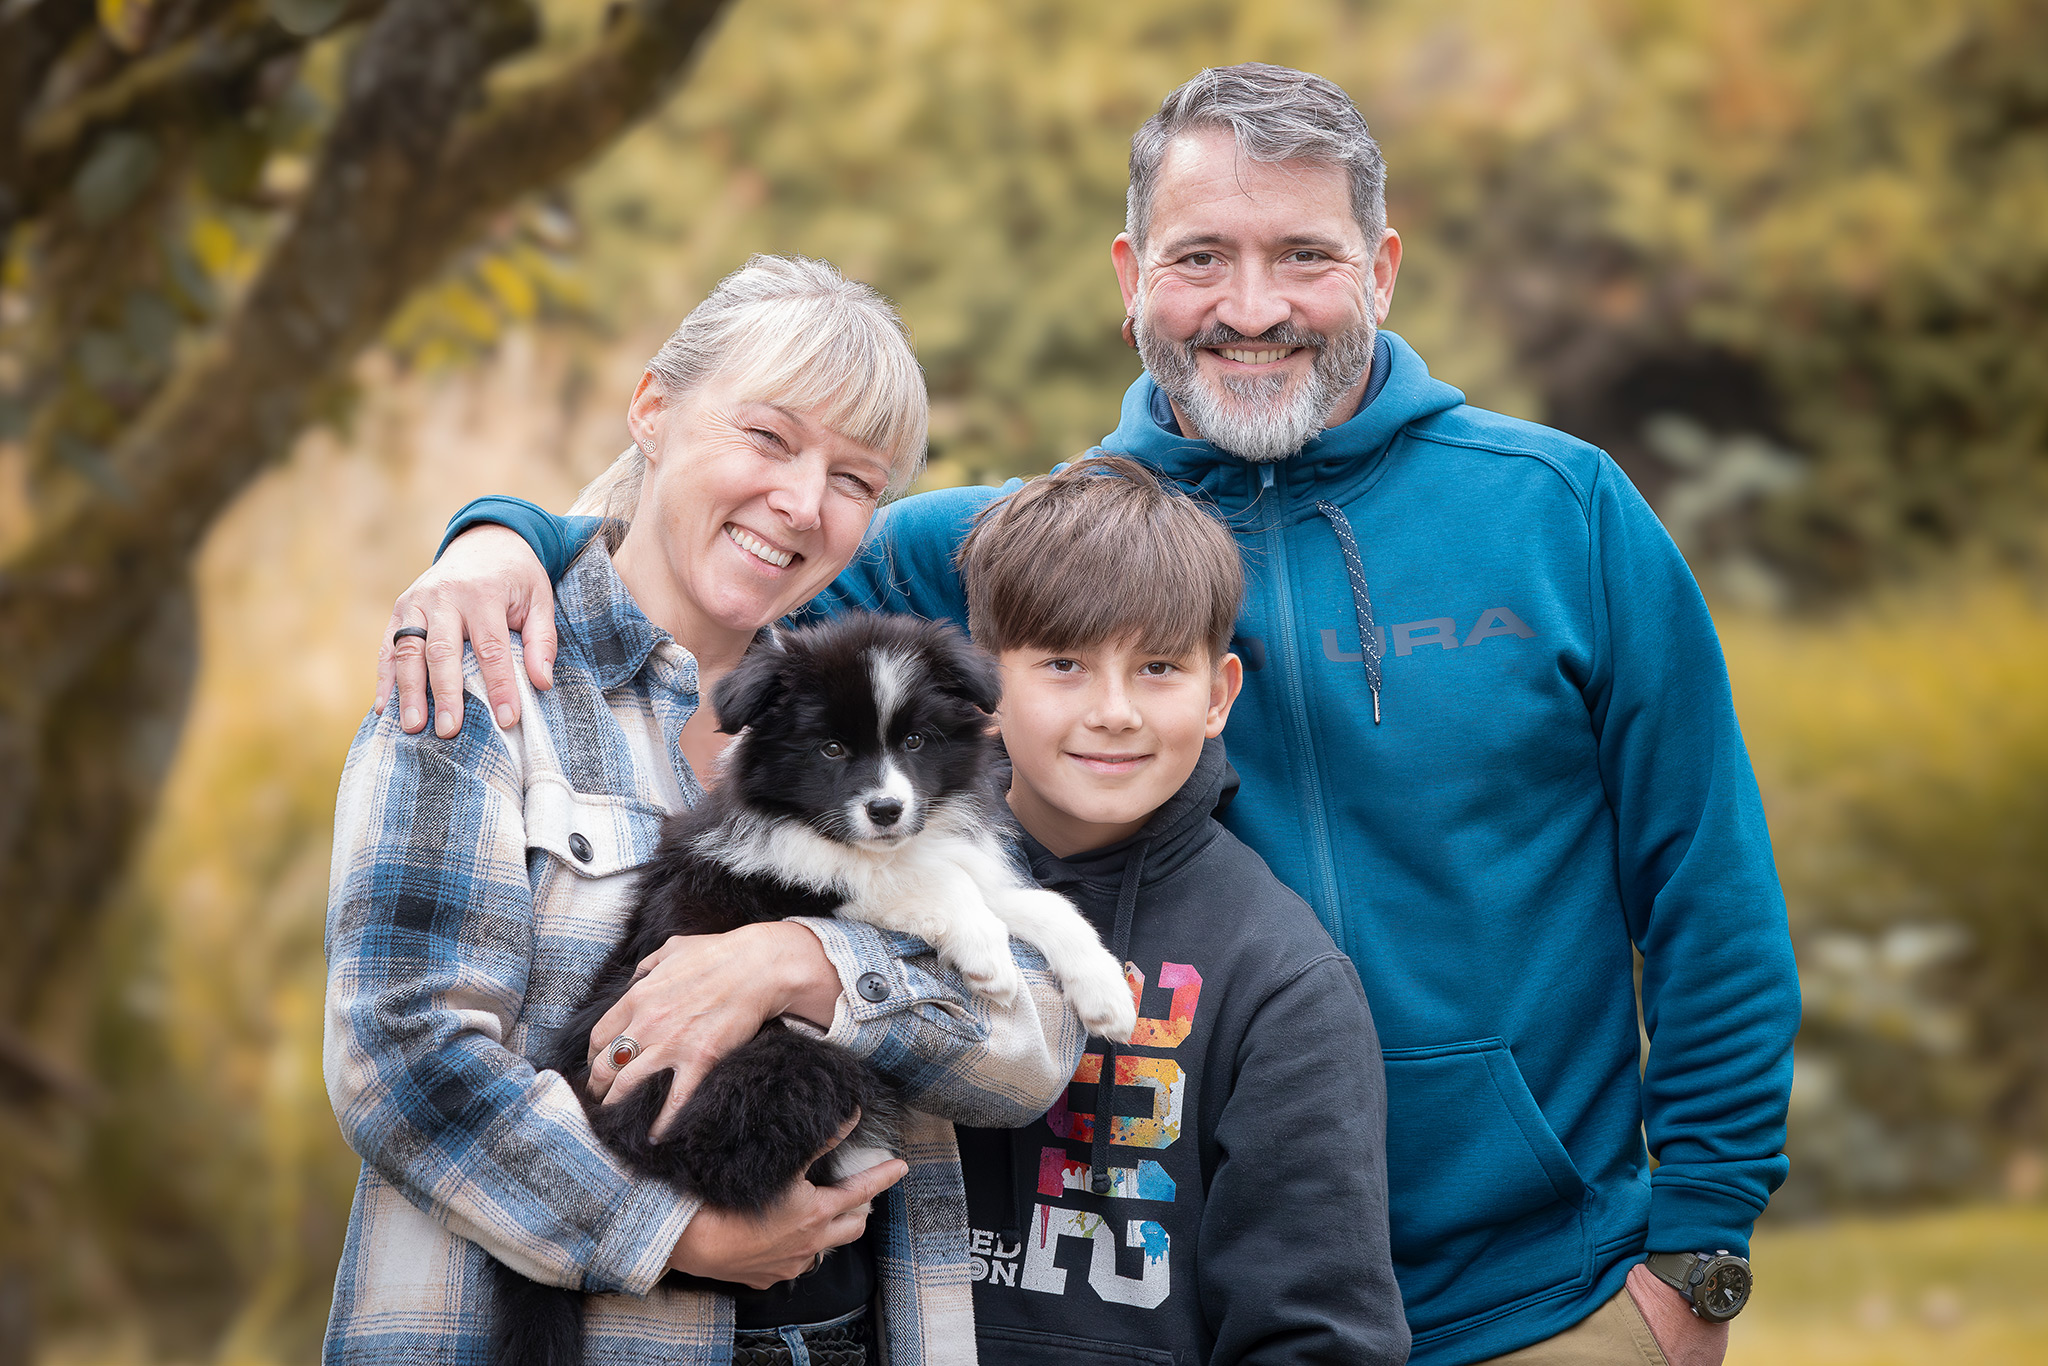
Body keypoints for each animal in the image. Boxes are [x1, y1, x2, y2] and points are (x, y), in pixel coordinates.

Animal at [491, 618, 1138, 1366]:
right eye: (830, 748)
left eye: (915, 742)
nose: (885, 810)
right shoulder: (804, 881)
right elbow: (929, 884)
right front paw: (987, 958)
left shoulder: (945, 852)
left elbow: (1031, 902)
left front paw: (1106, 993)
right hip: (764, 1070)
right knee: (709, 1166)